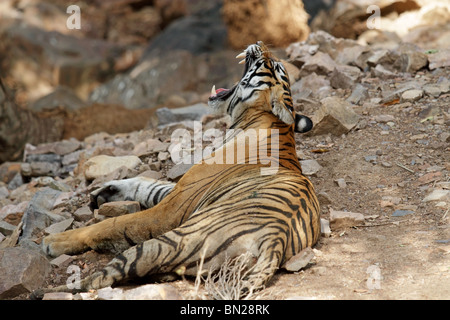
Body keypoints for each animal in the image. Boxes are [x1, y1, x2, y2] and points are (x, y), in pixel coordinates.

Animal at [36, 41, 324, 298]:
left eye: (274, 66)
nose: (262, 42)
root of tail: (276, 240)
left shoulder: (172, 209)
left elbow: (112, 224)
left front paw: (54, 241)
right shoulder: (184, 191)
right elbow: (149, 185)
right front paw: (106, 191)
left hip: (165, 242)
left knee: (103, 276)